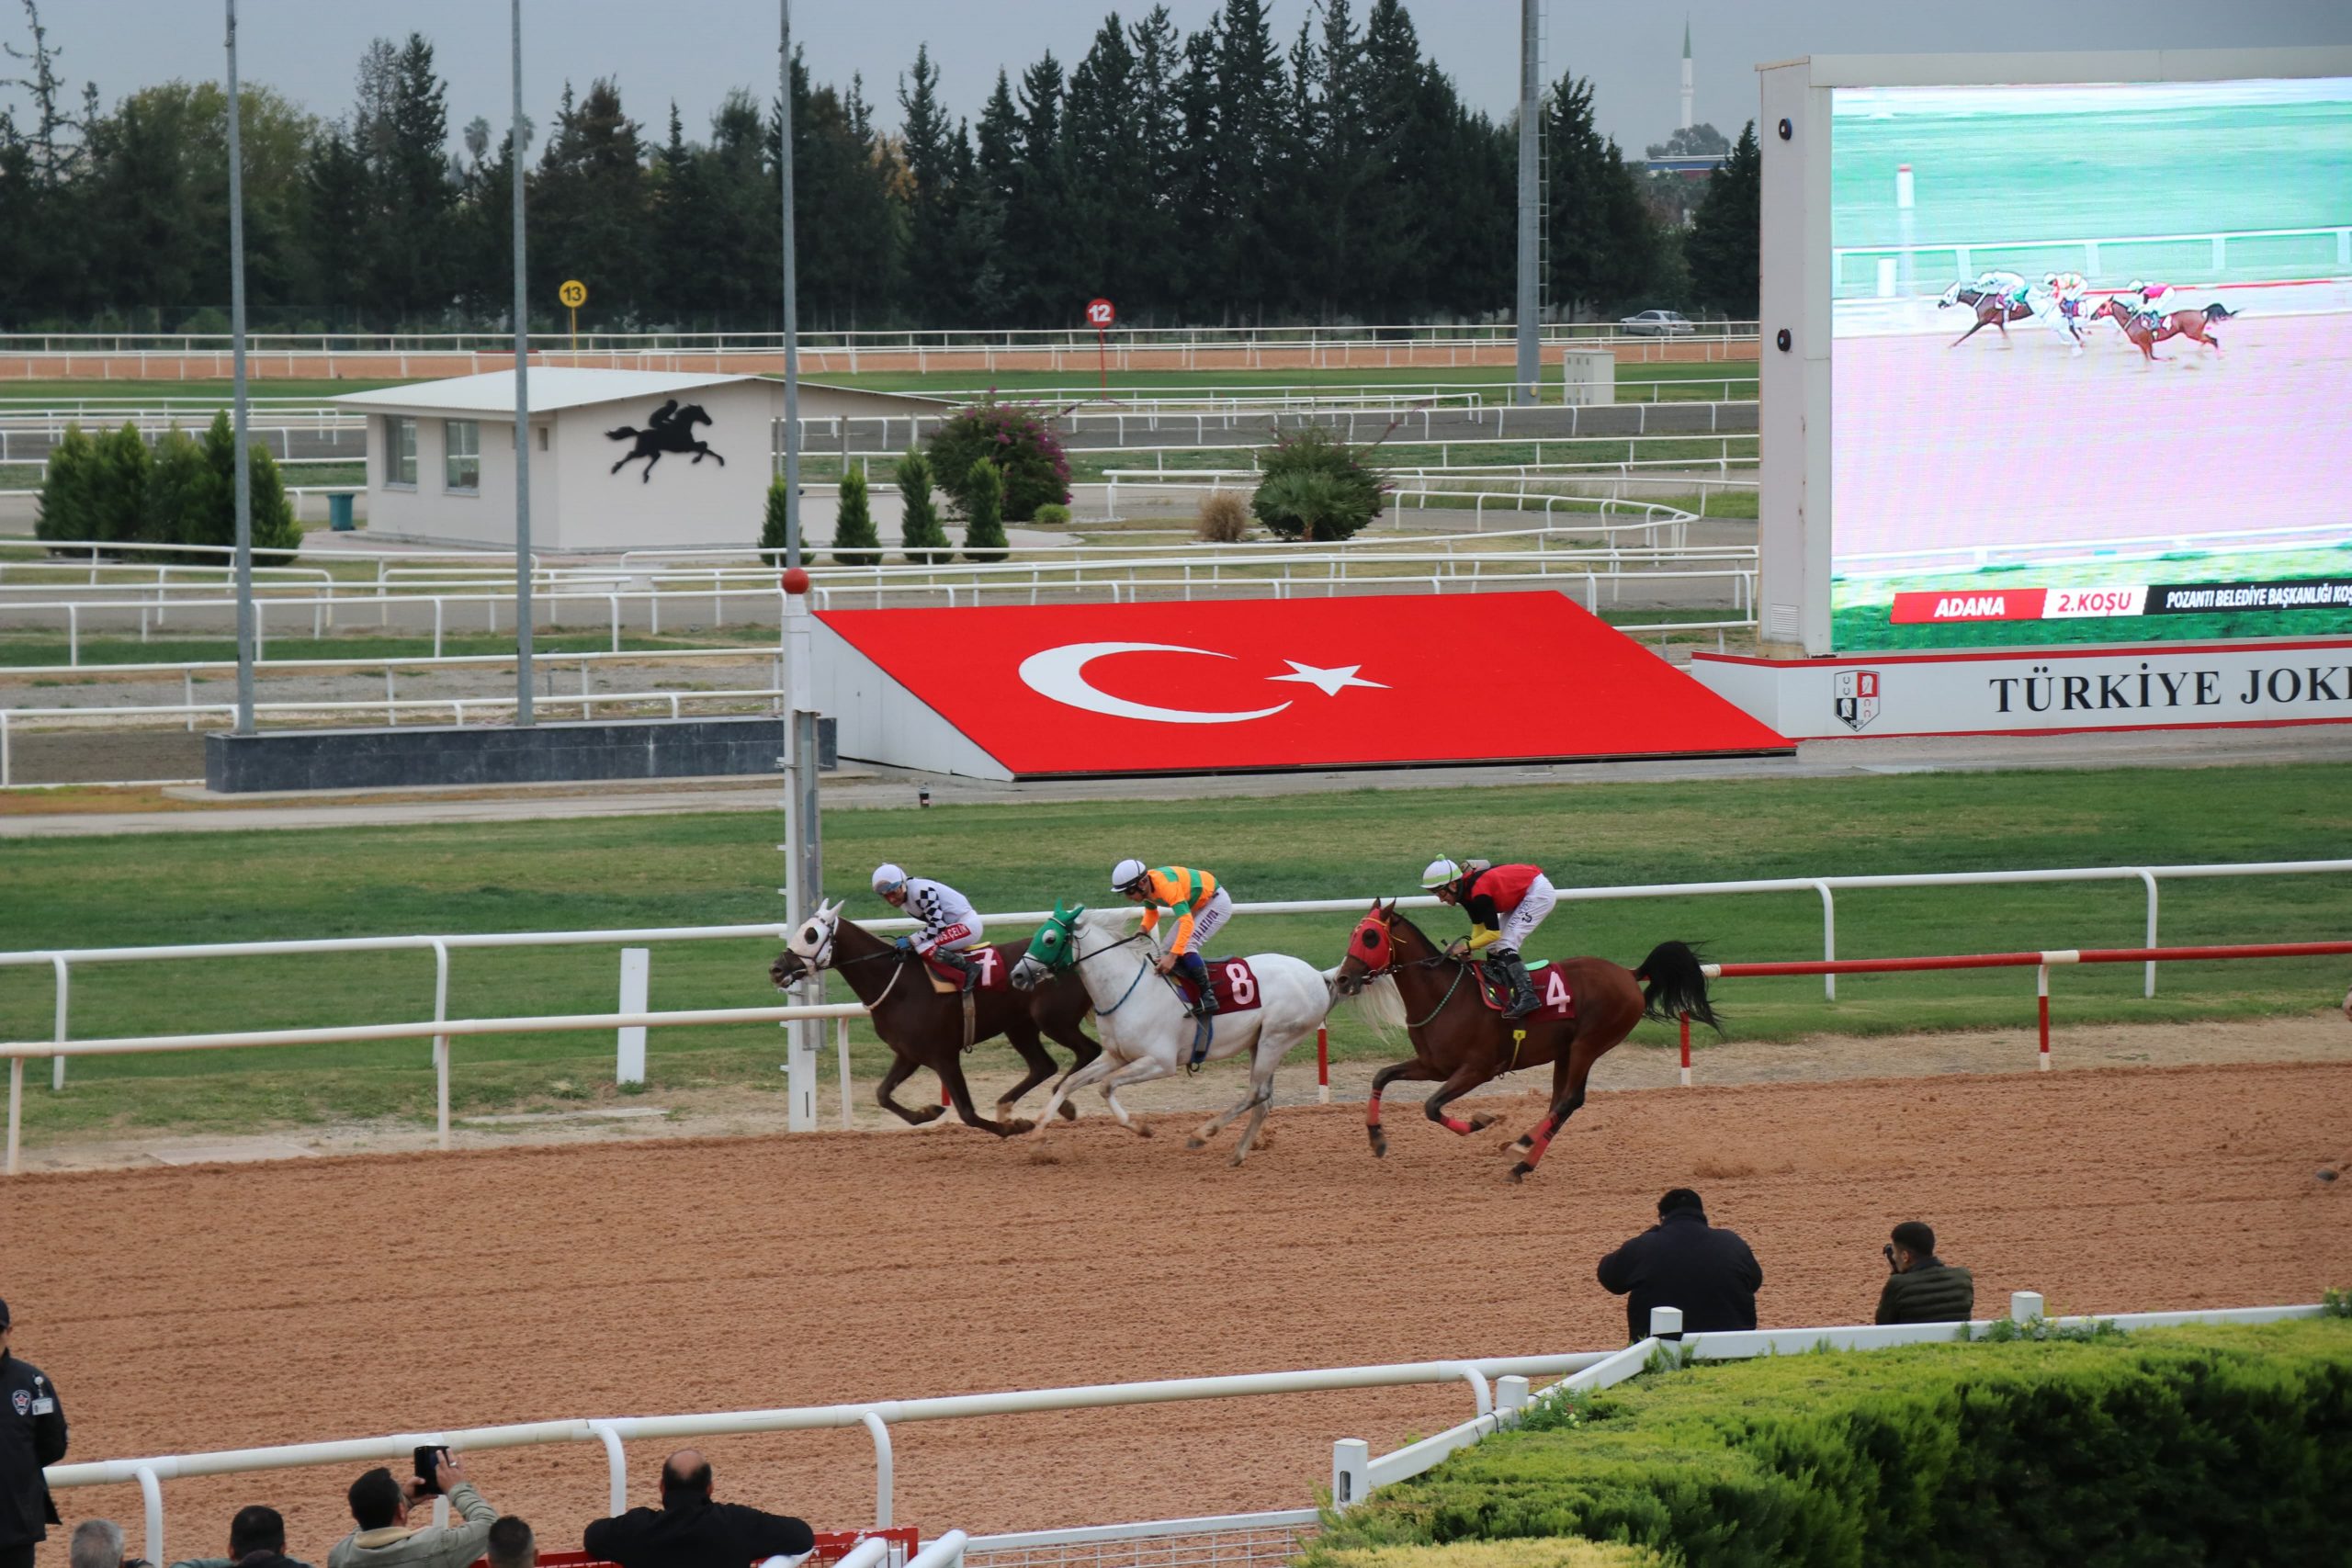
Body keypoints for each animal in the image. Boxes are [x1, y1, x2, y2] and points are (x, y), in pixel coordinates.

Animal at [771, 902, 1101, 1133]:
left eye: (811, 935)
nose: (776, 968)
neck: (897, 983)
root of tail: (1076, 957)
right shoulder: (909, 1054)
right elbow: (882, 1094)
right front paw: (927, 1112)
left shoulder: (944, 1055)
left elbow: (967, 1113)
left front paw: (1012, 1127)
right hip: (1020, 1026)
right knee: (1044, 1065)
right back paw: (1011, 1103)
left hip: (1053, 1019)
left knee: (1089, 1051)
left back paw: (1062, 1099)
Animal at [1015, 907, 1345, 1166]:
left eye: (1050, 938)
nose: (1018, 974)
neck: (1128, 989)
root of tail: (1318, 975)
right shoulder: (1116, 1055)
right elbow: (1069, 1083)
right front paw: (1037, 1140)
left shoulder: (1160, 1062)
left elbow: (1106, 1087)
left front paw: (1141, 1128)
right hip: (1260, 1041)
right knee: (1264, 1100)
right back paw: (1237, 1154)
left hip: (1275, 1039)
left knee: (1256, 1094)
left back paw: (1202, 1134)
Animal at [1336, 902, 1721, 1184]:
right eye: (1354, 934)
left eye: (1369, 937)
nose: (1341, 978)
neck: (1445, 995)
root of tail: (1629, 974)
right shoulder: (1434, 1065)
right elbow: (1382, 1076)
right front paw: (1376, 1139)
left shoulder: (1477, 1069)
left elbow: (1431, 1106)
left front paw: (1481, 1121)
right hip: (1566, 1052)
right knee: (1560, 1103)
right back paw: (1524, 1152)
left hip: (1588, 1045)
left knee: (1569, 1101)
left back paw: (1521, 1153)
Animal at [2088, 299, 2229, 364]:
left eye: (2102, 306)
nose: (2092, 315)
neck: (2132, 321)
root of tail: (2201, 311)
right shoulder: (2144, 345)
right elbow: (2148, 358)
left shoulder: (2146, 342)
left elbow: (2152, 357)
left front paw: (2171, 358)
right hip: (2195, 333)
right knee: (2208, 339)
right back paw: (2201, 354)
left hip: (2192, 333)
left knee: (2213, 340)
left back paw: (2218, 356)